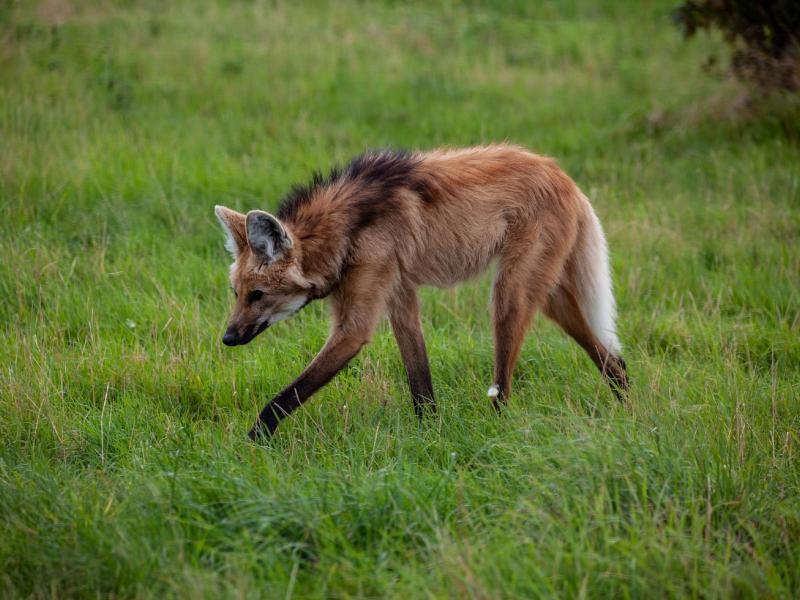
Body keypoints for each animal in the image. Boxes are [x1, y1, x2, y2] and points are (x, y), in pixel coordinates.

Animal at [216, 143, 628, 438]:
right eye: (236, 293)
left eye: (258, 295)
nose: (227, 338)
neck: (345, 231)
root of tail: (563, 175)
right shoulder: (399, 294)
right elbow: (419, 381)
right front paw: (430, 434)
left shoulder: (355, 324)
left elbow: (283, 397)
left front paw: (250, 446)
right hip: (549, 293)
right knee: (612, 358)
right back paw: (627, 410)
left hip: (510, 293)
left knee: (506, 384)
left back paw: (497, 430)